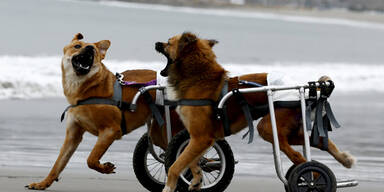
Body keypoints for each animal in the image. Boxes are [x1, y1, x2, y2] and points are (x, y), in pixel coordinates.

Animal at [154, 32, 356, 191]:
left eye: (169, 42)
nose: (156, 43)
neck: (198, 77)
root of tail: (306, 90)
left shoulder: (201, 137)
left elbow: (176, 165)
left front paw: (169, 187)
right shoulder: (198, 137)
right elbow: (192, 160)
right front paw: (196, 179)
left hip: (268, 126)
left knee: (299, 157)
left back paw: (312, 179)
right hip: (284, 130)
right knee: (319, 141)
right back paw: (344, 159)